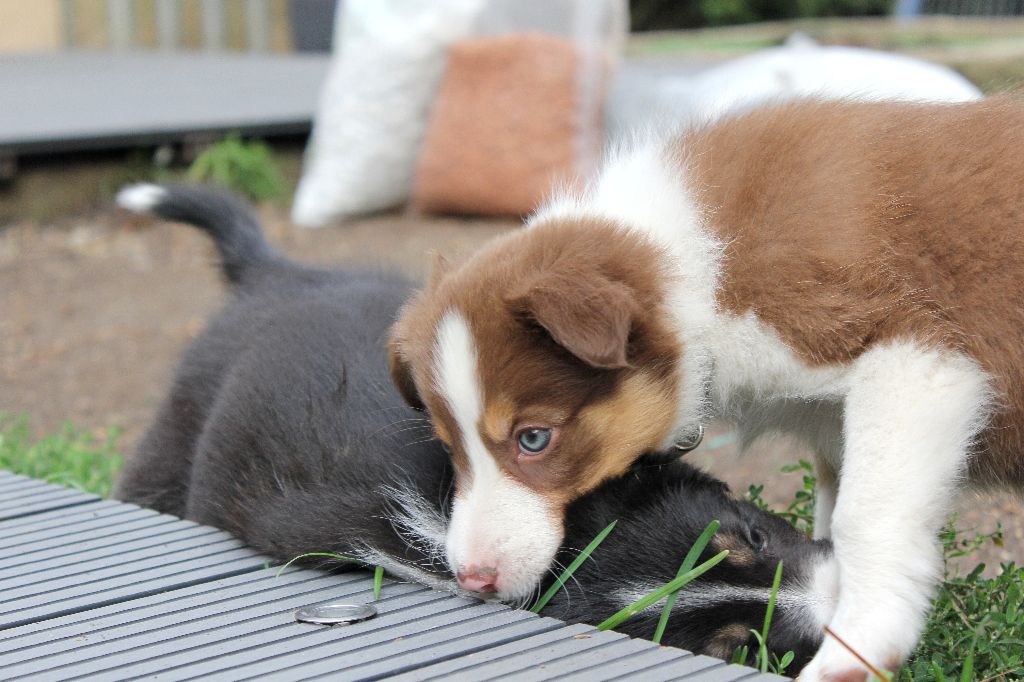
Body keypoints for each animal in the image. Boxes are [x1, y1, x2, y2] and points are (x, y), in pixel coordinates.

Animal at [114, 182, 831, 667]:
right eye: (739, 647)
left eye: (752, 536)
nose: (842, 599)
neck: (564, 538)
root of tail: (274, 276)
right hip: (173, 443)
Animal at [385, 94, 1024, 675]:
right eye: (449, 447)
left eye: (534, 439)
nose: (471, 578)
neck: (695, 270)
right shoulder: (836, 416)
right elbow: (832, 502)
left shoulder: (916, 360)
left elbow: (863, 515)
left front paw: (855, 648)